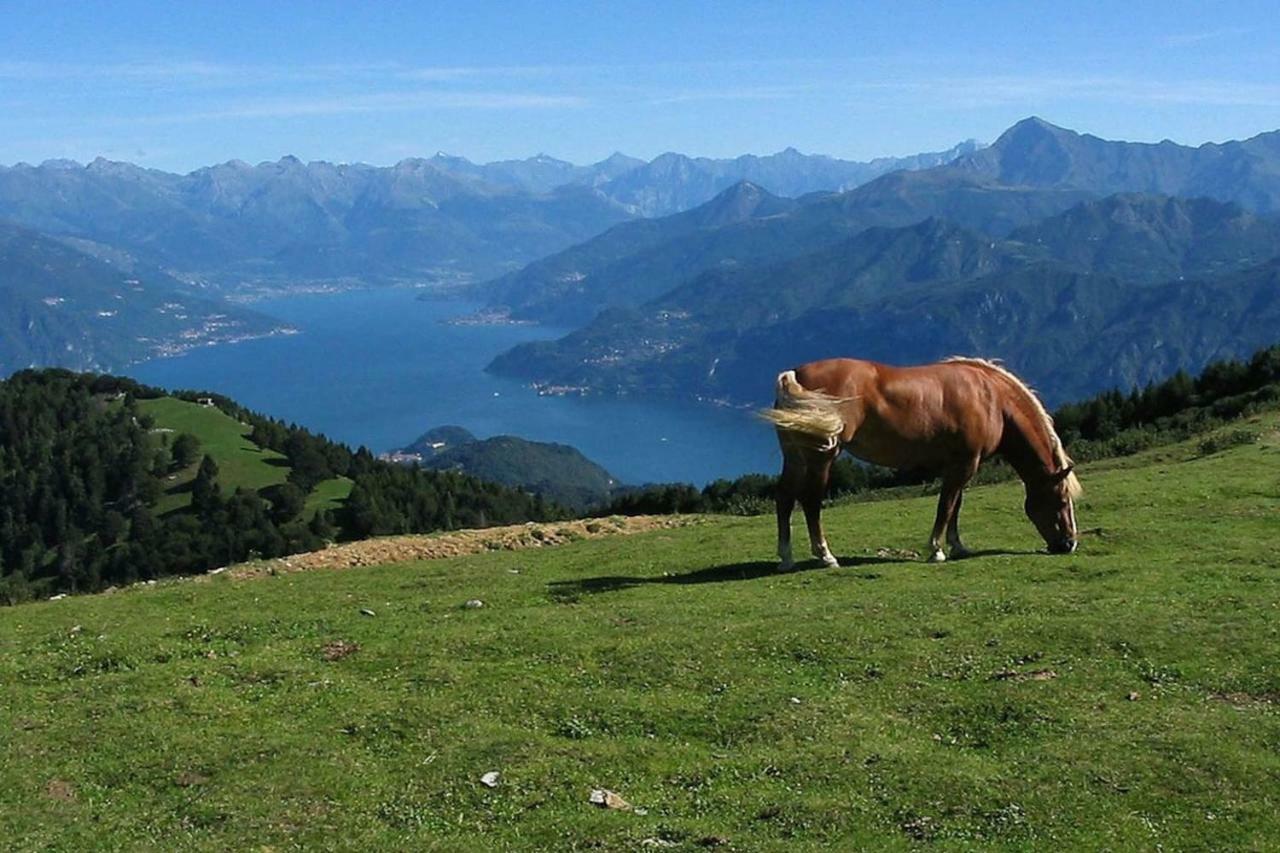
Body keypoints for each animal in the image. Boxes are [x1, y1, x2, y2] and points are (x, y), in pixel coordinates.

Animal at [757, 356, 1080, 568]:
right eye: (1062, 500)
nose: (1069, 544)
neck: (991, 398)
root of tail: (795, 375)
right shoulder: (965, 464)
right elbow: (946, 505)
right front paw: (936, 550)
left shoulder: (958, 465)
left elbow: (955, 505)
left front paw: (958, 546)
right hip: (822, 456)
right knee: (810, 500)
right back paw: (825, 555)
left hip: (796, 456)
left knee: (784, 498)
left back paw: (786, 558)